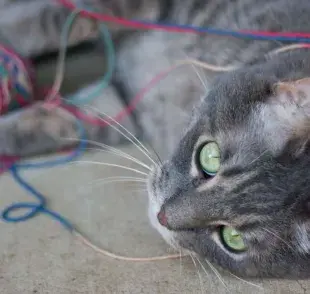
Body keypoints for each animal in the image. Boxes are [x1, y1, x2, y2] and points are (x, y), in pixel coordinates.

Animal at [1, 0, 310, 280]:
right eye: (210, 157)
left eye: (232, 238)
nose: (163, 216)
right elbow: (48, 21)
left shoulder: (118, 109)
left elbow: (54, 123)